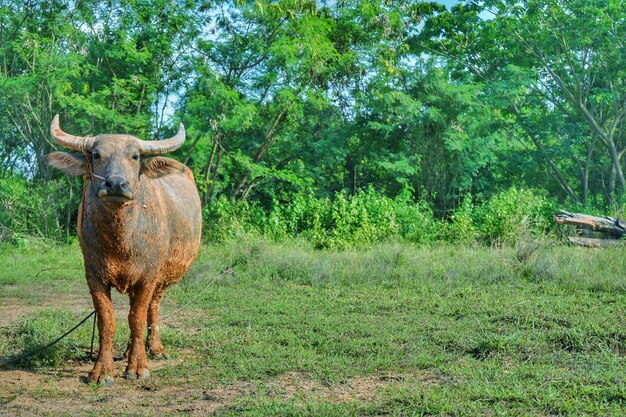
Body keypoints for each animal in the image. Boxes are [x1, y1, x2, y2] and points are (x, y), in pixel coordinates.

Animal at [45, 115, 201, 386]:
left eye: (135, 156)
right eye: (96, 154)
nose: (116, 184)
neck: (120, 239)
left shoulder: (148, 277)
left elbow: (137, 318)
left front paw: (138, 366)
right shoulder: (94, 276)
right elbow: (107, 320)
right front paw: (101, 370)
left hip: (163, 277)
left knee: (153, 307)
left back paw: (155, 349)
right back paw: (129, 350)